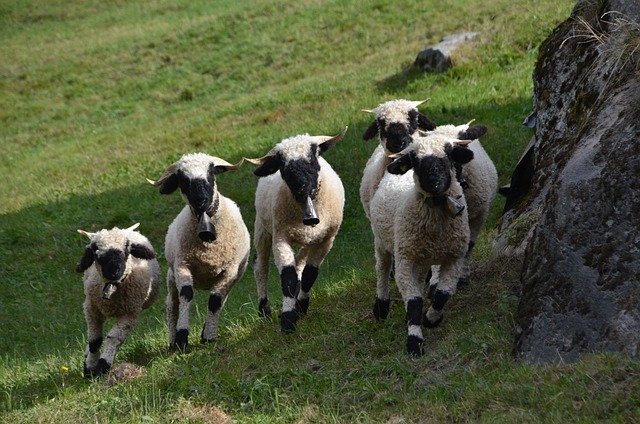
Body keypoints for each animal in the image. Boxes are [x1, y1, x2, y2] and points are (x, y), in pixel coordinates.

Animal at [75, 222, 161, 378]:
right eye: (95, 251)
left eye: (127, 249)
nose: (114, 272)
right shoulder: (91, 308)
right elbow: (94, 341)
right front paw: (89, 367)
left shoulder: (130, 314)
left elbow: (113, 339)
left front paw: (102, 367)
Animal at [148, 152, 250, 352]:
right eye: (182, 179)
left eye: (211, 174)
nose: (201, 200)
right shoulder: (182, 266)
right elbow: (186, 295)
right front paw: (181, 339)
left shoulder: (230, 271)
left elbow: (215, 301)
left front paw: (208, 337)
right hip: (171, 276)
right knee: (172, 305)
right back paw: (172, 341)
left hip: (234, 276)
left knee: (221, 300)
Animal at [245, 127, 348, 332]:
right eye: (283, 167)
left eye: (313, 159)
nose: (301, 189)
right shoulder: (280, 238)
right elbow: (288, 279)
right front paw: (288, 321)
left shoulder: (327, 239)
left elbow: (309, 275)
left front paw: (301, 307)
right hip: (263, 227)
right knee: (260, 266)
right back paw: (264, 311)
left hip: (310, 239)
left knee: (300, 261)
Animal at [368, 133, 478, 358]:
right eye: (415, 161)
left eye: (448, 155)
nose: (435, 184)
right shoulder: (404, 259)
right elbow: (414, 302)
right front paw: (414, 342)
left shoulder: (454, 257)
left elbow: (442, 295)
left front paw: (431, 319)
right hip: (383, 241)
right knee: (382, 269)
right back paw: (381, 308)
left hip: (419, 256)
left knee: (418, 281)